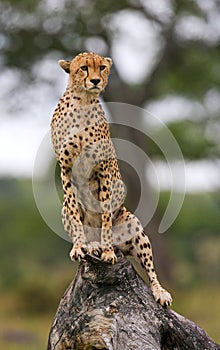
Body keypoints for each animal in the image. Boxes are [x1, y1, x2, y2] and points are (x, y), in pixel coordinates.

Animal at [50, 52, 173, 306]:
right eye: (84, 68)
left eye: (103, 68)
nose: (96, 80)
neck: (83, 101)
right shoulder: (66, 170)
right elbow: (76, 215)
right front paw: (79, 246)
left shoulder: (103, 171)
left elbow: (105, 215)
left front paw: (107, 251)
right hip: (64, 208)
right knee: (73, 215)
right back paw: (92, 245)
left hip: (133, 225)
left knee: (150, 268)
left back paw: (159, 291)